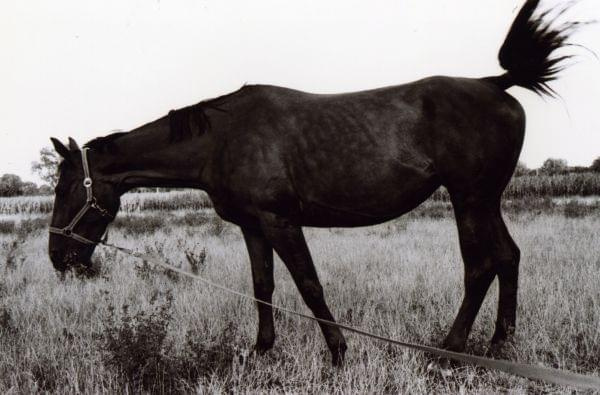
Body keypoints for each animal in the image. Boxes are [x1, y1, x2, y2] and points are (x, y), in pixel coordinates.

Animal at [49, 0, 584, 366]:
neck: (222, 138)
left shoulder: (280, 221)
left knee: (479, 266)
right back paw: (499, 343)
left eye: (66, 188)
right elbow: (262, 285)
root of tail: (496, 83)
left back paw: (449, 350)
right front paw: (261, 350)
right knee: (507, 257)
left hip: (468, 198)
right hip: (486, 199)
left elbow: (308, 284)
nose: (58, 258)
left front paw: (338, 352)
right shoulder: (253, 226)